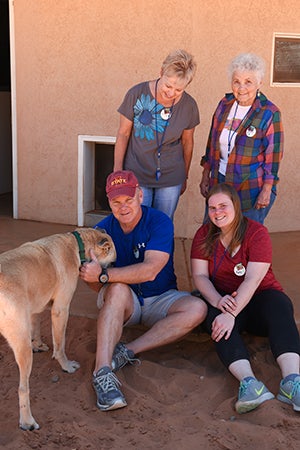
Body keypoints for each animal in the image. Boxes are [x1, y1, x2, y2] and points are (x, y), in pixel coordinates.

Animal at [0, 227, 116, 430]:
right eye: (112, 260)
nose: (110, 273)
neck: (77, 243)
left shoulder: (36, 304)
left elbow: (36, 325)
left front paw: (38, 344)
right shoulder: (61, 310)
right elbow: (60, 344)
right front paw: (66, 365)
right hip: (22, 347)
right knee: (23, 388)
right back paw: (27, 421)